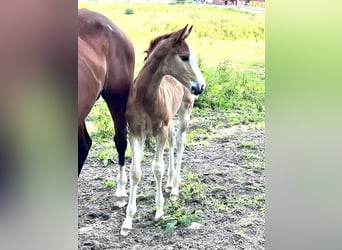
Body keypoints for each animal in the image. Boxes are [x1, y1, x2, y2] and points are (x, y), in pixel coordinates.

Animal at [121, 24, 204, 235]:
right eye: (184, 56)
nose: (201, 86)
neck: (145, 97)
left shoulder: (161, 130)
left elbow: (157, 168)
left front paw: (159, 211)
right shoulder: (135, 132)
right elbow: (135, 172)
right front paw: (127, 220)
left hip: (185, 111)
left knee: (180, 142)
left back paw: (174, 188)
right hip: (170, 121)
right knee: (173, 141)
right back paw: (169, 183)